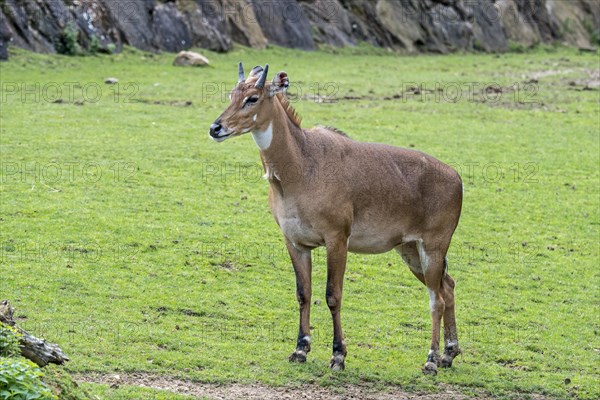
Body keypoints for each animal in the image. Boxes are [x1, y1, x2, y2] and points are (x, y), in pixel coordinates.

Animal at [211, 63, 464, 376]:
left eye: (253, 98)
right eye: (232, 94)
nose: (216, 128)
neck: (301, 166)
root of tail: (456, 178)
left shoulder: (337, 239)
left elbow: (333, 295)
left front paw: (338, 356)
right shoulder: (295, 242)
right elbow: (303, 293)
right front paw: (300, 349)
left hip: (433, 247)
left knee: (436, 298)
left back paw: (431, 360)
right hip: (410, 251)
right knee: (448, 286)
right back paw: (449, 354)